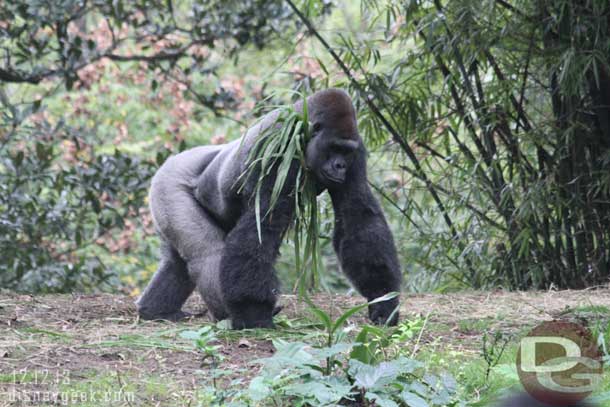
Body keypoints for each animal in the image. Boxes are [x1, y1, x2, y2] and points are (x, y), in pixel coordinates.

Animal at [138, 88, 404, 328]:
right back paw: (227, 314)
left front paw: (383, 300)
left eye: (346, 151)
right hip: (169, 183)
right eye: (335, 148)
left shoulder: (357, 150)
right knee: (206, 252)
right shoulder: (278, 150)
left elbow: (358, 219)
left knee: (177, 262)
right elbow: (262, 228)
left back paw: (155, 311)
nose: (340, 166)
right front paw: (253, 312)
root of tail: (173, 160)